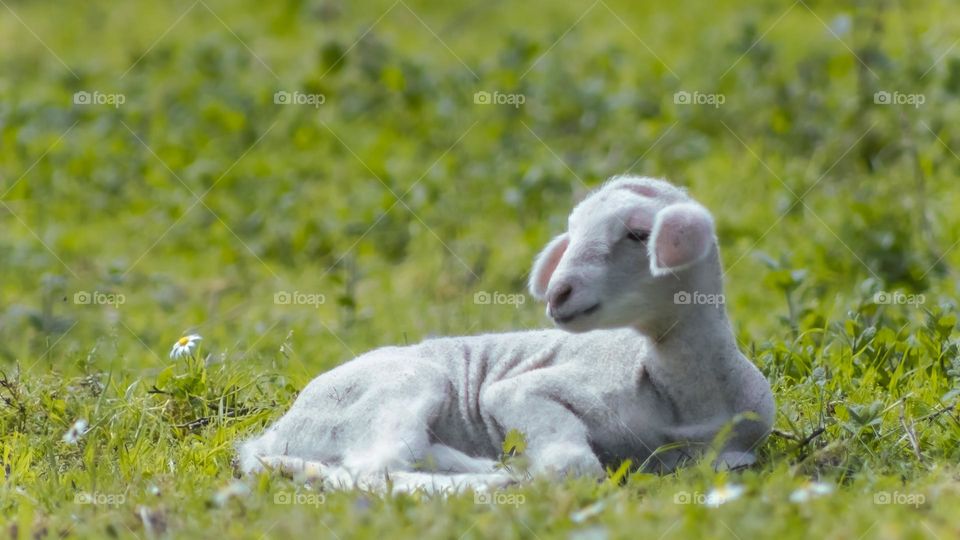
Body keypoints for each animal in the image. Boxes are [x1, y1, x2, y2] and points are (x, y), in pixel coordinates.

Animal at [238, 175, 772, 492]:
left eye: (639, 233)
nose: (557, 292)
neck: (685, 391)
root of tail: (277, 432)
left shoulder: (733, 451)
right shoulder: (522, 391)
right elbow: (573, 465)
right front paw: (531, 471)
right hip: (398, 387)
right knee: (376, 469)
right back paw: (486, 478)